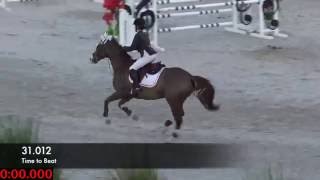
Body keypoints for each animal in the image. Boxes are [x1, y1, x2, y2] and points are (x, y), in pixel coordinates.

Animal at [90, 35, 220, 136]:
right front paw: (131, 114)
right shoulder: (129, 95)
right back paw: (168, 125)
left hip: (173, 99)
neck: (122, 66)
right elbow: (120, 104)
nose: (92, 58)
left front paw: (105, 115)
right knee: (179, 115)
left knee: (178, 116)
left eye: (98, 47)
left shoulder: (122, 92)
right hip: (176, 100)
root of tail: (189, 76)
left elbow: (107, 100)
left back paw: (172, 131)